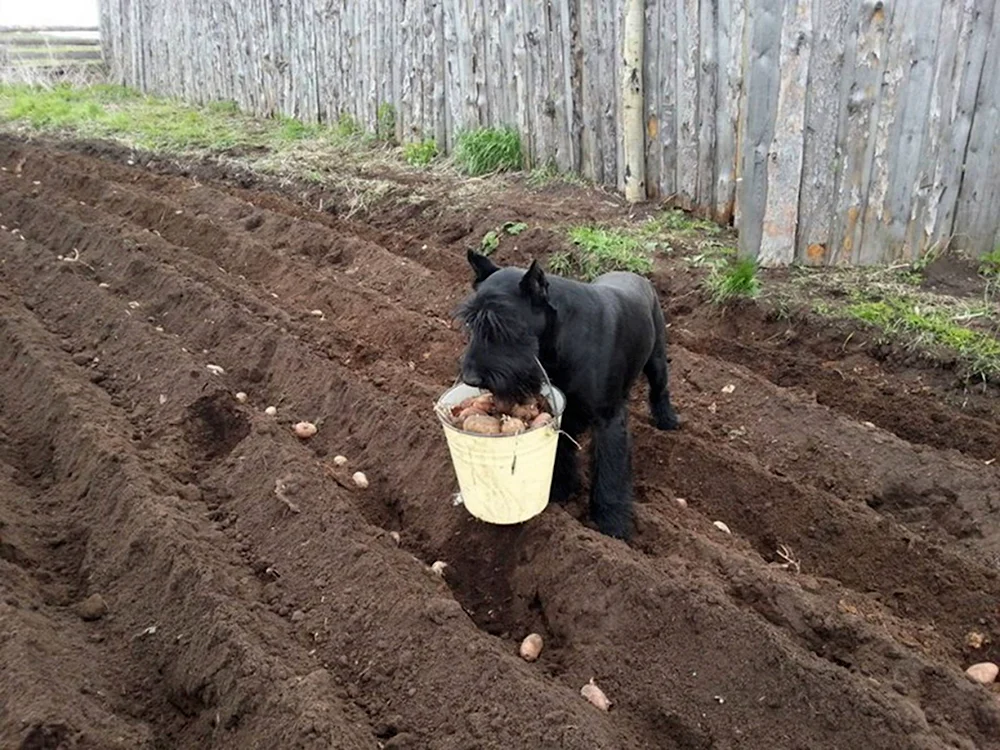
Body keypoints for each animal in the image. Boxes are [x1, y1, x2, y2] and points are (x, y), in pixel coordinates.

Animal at [456, 251, 680, 540]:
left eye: (503, 325)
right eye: (471, 322)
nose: (471, 378)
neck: (558, 339)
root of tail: (637, 276)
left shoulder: (609, 419)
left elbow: (610, 470)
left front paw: (612, 523)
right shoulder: (563, 408)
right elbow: (561, 452)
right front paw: (560, 490)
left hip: (657, 359)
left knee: (660, 389)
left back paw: (668, 420)